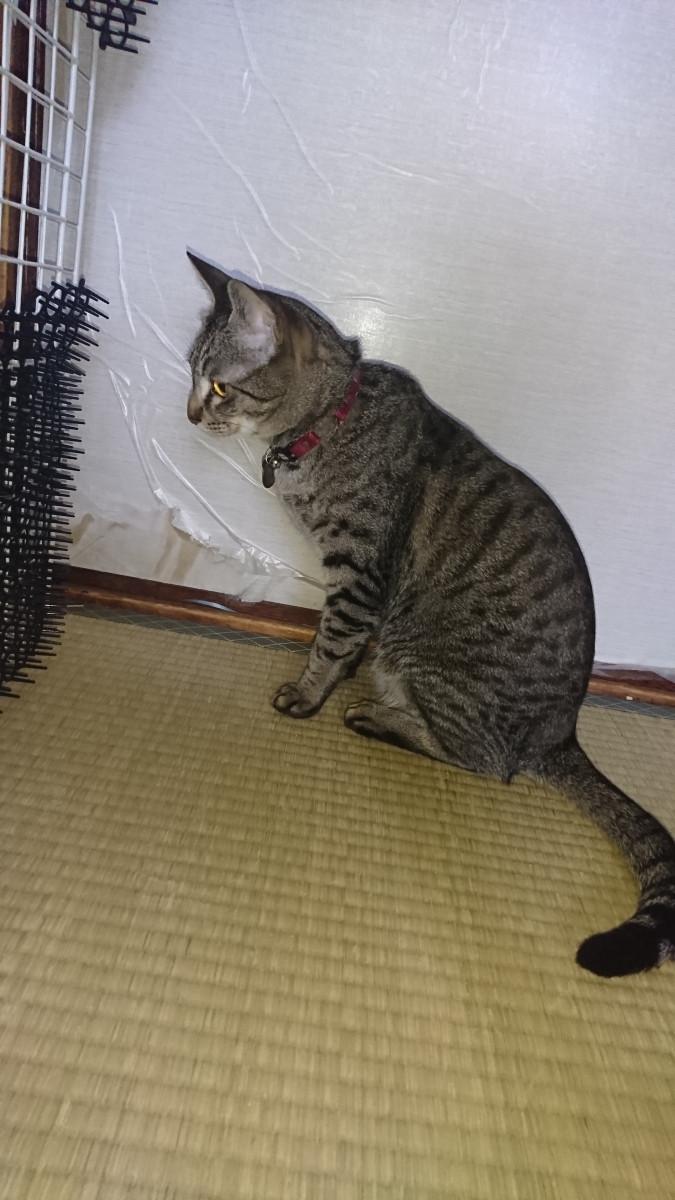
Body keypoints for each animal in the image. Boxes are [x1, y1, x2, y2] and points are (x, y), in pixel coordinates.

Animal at [186, 251, 675, 978]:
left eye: (218, 387)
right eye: (194, 377)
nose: (189, 414)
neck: (327, 427)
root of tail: (560, 733)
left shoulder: (359, 576)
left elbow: (330, 644)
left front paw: (307, 694)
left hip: (423, 655)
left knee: (487, 764)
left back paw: (377, 718)